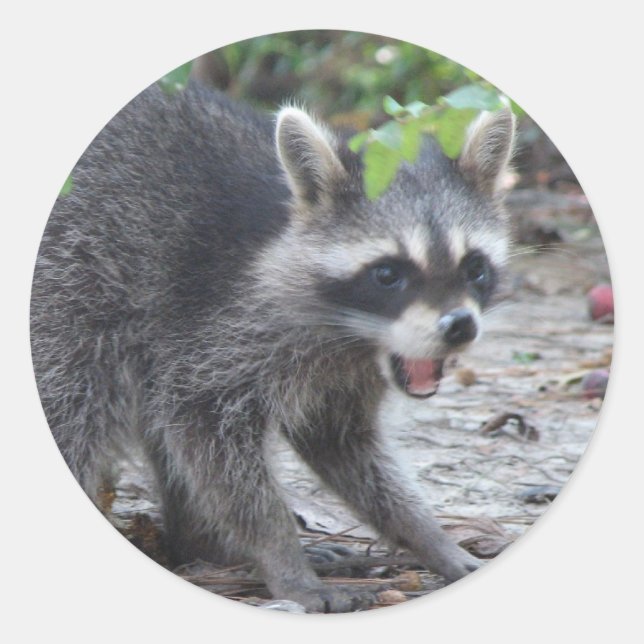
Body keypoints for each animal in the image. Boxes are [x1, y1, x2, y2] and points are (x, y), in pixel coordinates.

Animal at [31, 82, 515, 612]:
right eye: (388, 273)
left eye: (475, 267)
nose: (459, 326)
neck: (354, 335)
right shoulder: (215, 333)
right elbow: (209, 438)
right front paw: (280, 554)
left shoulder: (340, 378)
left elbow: (345, 447)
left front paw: (428, 536)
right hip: (70, 288)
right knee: (74, 403)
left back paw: (200, 544)